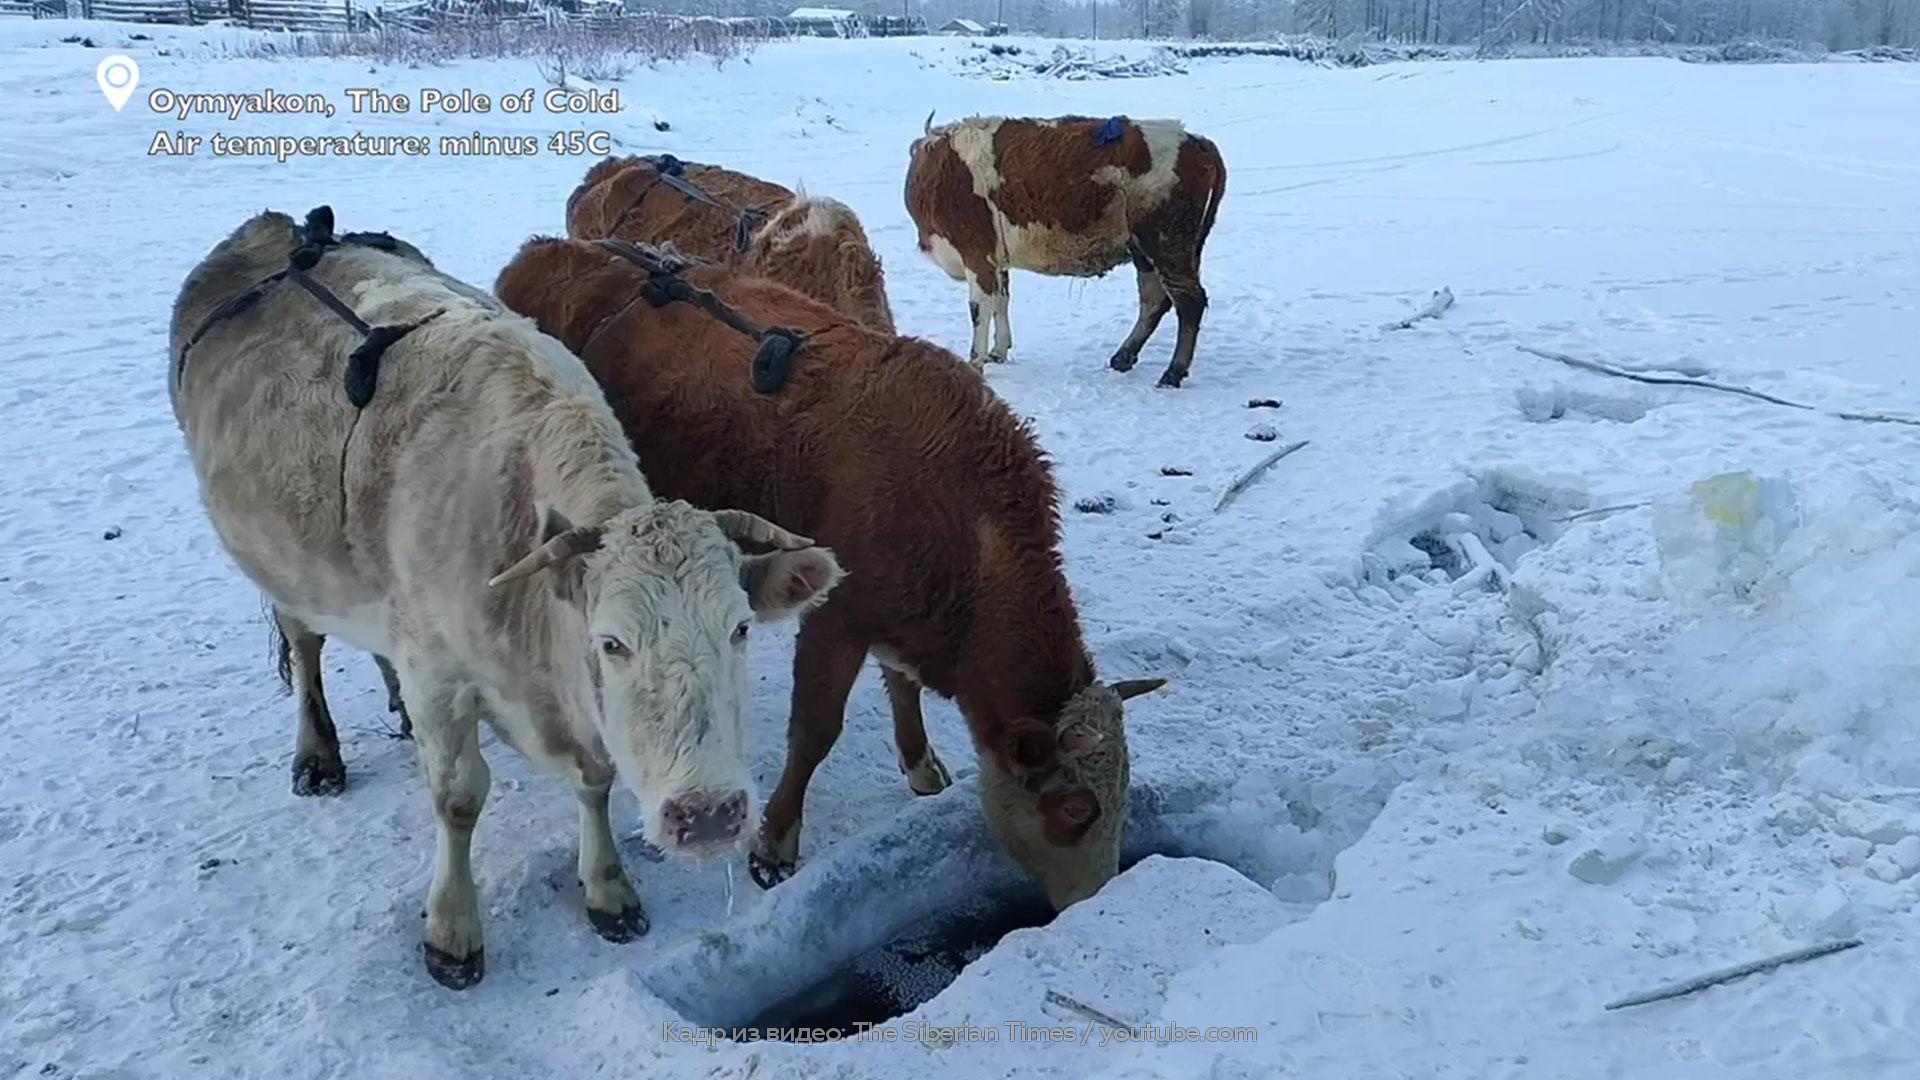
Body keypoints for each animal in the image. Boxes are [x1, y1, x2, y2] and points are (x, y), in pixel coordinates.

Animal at [902, 113, 1228, 388]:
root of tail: (1197, 141)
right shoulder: (996, 260)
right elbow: (1001, 301)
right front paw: (999, 351)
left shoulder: (976, 254)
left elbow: (979, 310)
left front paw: (975, 364)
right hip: (1145, 251)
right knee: (1154, 300)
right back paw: (1123, 357)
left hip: (1168, 244)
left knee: (1189, 302)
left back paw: (1172, 372)